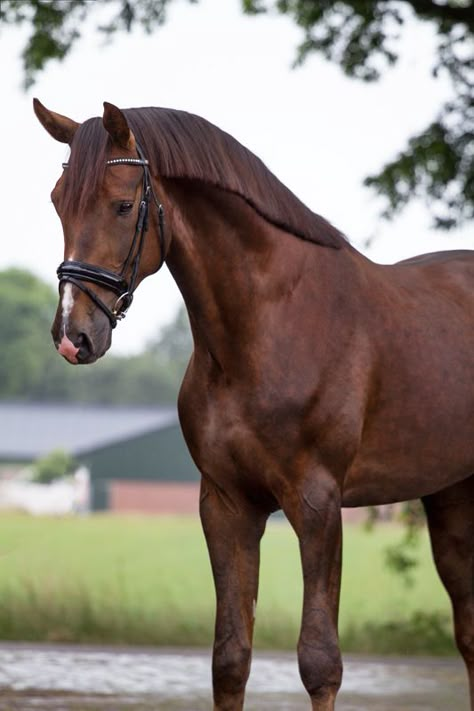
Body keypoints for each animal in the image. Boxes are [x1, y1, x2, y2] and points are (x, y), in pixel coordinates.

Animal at [34, 98, 474, 711]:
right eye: (58, 202)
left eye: (122, 204)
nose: (73, 336)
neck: (268, 325)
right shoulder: (226, 505)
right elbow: (230, 658)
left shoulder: (317, 505)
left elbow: (320, 660)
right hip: (452, 496)